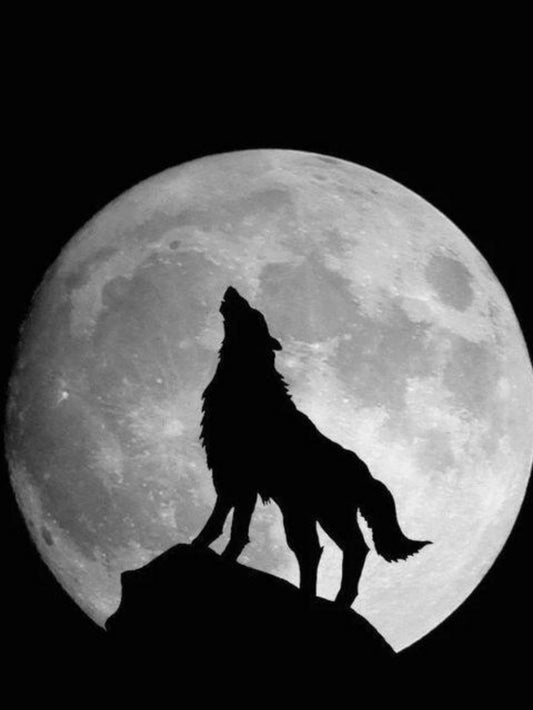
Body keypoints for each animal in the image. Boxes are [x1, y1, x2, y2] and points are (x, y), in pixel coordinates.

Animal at [192, 286, 431, 607]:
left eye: (254, 313)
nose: (232, 290)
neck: (248, 380)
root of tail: (367, 473)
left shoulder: (238, 478)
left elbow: (227, 526)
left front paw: (205, 550)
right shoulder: (233, 479)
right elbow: (229, 525)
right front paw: (211, 551)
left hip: (325, 514)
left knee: (349, 549)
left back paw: (335, 601)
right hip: (303, 513)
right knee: (315, 550)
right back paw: (317, 596)